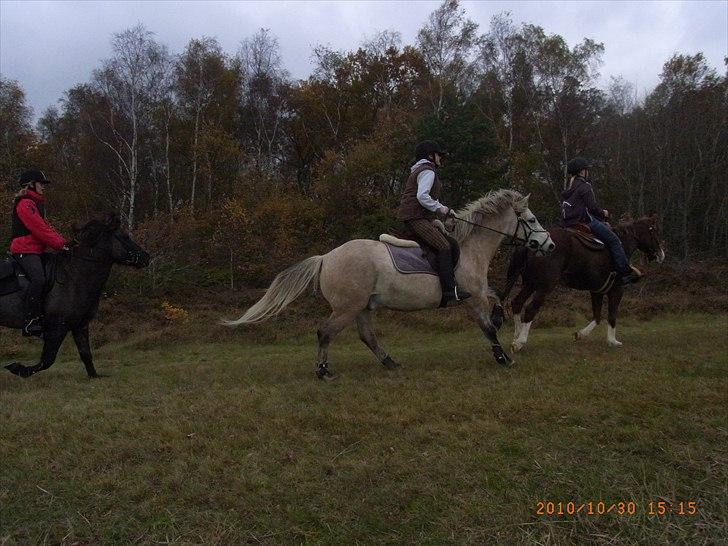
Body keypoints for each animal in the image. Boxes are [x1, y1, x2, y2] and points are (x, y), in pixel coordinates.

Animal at [1, 215, 149, 376]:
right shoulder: (58, 326)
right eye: (125, 236)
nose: (146, 257)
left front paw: (94, 376)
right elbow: (47, 360)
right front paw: (17, 368)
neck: (74, 275)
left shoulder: (80, 324)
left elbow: (85, 354)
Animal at [225, 189, 556, 376]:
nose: (549, 245)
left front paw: (502, 325)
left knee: (367, 337)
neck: (470, 246)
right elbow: (487, 328)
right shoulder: (472, 296)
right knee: (325, 332)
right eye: (532, 220)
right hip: (348, 308)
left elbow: (497, 298)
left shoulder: (478, 292)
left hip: (362, 307)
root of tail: (326, 257)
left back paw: (390, 363)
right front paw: (503, 359)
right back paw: (323, 371)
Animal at [500, 212, 664, 348]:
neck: (622, 242)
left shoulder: (597, 291)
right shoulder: (617, 289)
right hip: (545, 286)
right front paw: (612, 341)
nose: (661, 254)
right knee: (530, 309)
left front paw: (580, 334)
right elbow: (611, 315)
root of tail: (532, 243)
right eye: (654, 230)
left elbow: (597, 316)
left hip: (530, 284)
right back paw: (520, 342)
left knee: (516, 303)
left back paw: (516, 336)